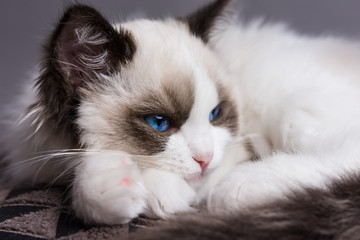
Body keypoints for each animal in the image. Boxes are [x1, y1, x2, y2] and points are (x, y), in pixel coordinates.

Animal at [3, 0, 360, 237]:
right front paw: (118, 183)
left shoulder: (235, 152)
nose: (205, 158)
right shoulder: (43, 162)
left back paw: (240, 188)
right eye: (159, 122)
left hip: (287, 107)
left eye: (215, 114)